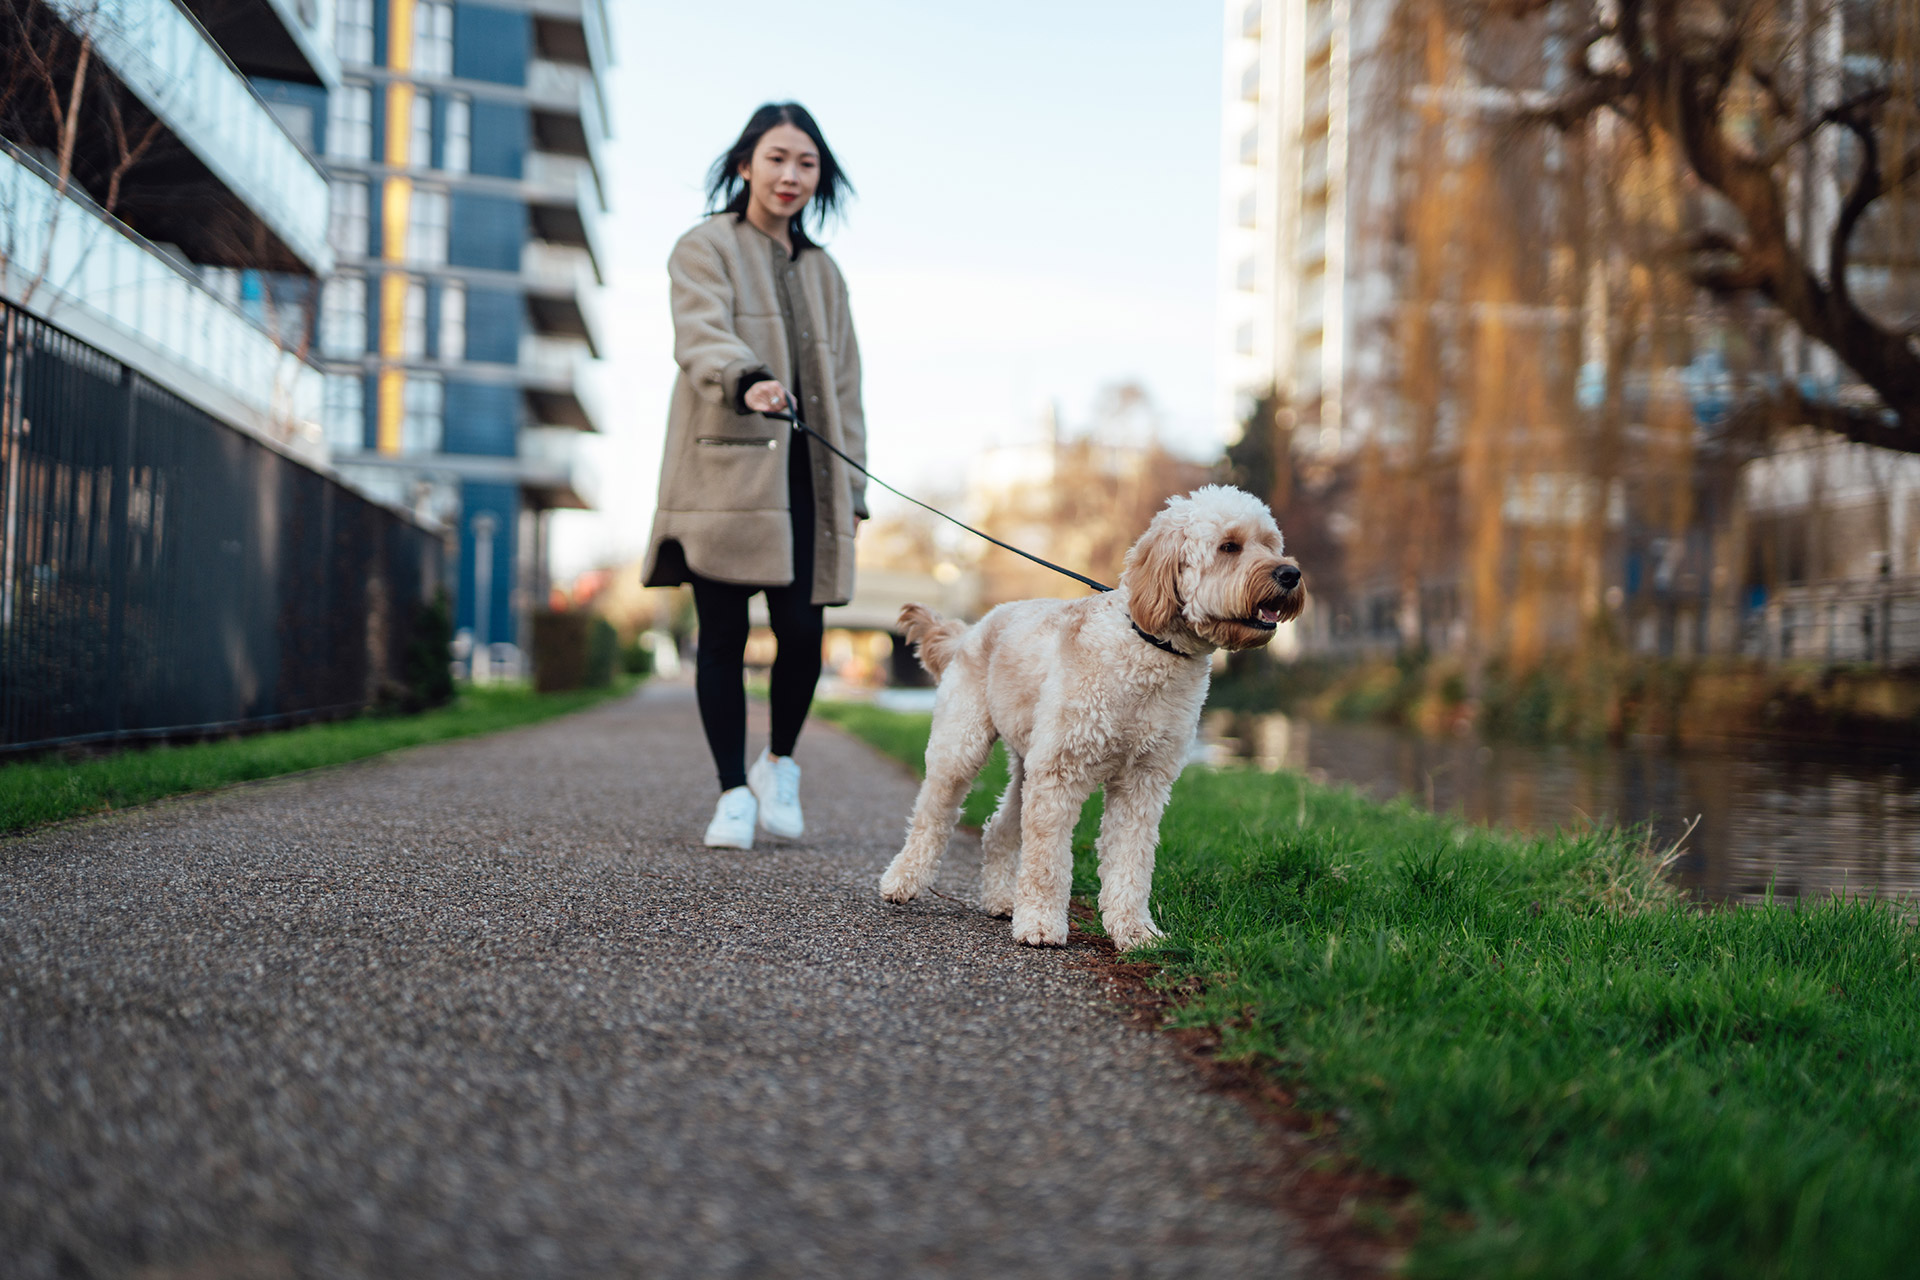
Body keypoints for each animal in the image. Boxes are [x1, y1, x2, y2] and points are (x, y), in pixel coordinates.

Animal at [879, 485, 1305, 948]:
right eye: (1230, 546)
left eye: (1271, 544)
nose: (1290, 574)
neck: (1148, 648)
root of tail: (970, 630)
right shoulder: (1059, 772)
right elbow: (1047, 860)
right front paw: (1041, 923)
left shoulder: (1142, 782)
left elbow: (1131, 861)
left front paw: (1134, 930)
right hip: (961, 747)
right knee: (933, 816)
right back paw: (903, 880)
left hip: (1027, 761)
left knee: (999, 829)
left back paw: (1002, 900)